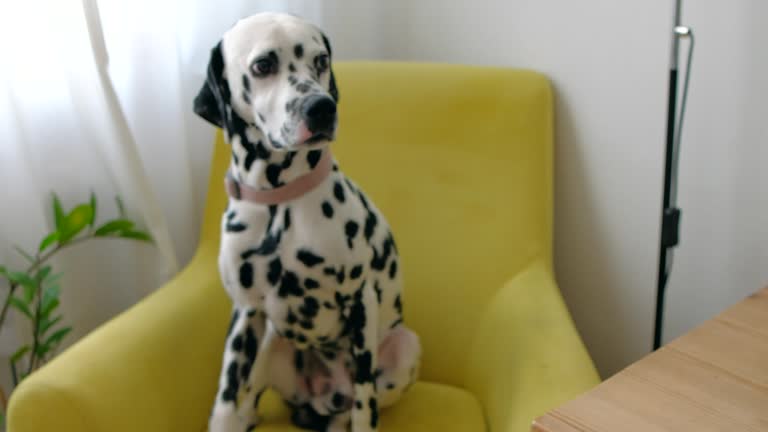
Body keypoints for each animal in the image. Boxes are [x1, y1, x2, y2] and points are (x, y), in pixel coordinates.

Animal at [192, 12, 420, 432]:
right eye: (263, 65)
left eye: (321, 60)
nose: (321, 108)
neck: (278, 205)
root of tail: (325, 394)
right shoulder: (245, 313)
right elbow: (227, 395)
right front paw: (227, 417)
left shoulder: (360, 301)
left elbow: (365, 403)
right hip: (270, 342)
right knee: (250, 400)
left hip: (403, 346)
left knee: (350, 409)